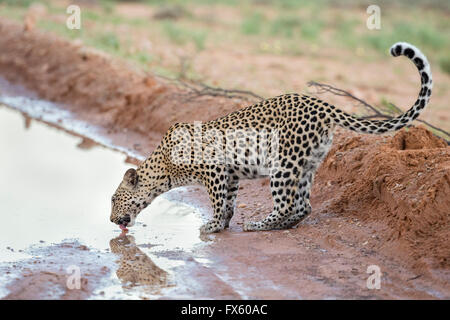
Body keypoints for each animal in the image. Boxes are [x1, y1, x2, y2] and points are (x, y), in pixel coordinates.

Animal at [109, 42, 432, 232]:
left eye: (114, 200)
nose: (111, 220)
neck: (164, 166)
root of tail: (321, 104)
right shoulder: (230, 175)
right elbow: (229, 202)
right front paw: (223, 224)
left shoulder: (214, 171)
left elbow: (217, 201)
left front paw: (211, 226)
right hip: (306, 163)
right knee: (303, 205)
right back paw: (279, 226)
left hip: (283, 163)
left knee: (288, 203)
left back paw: (259, 225)